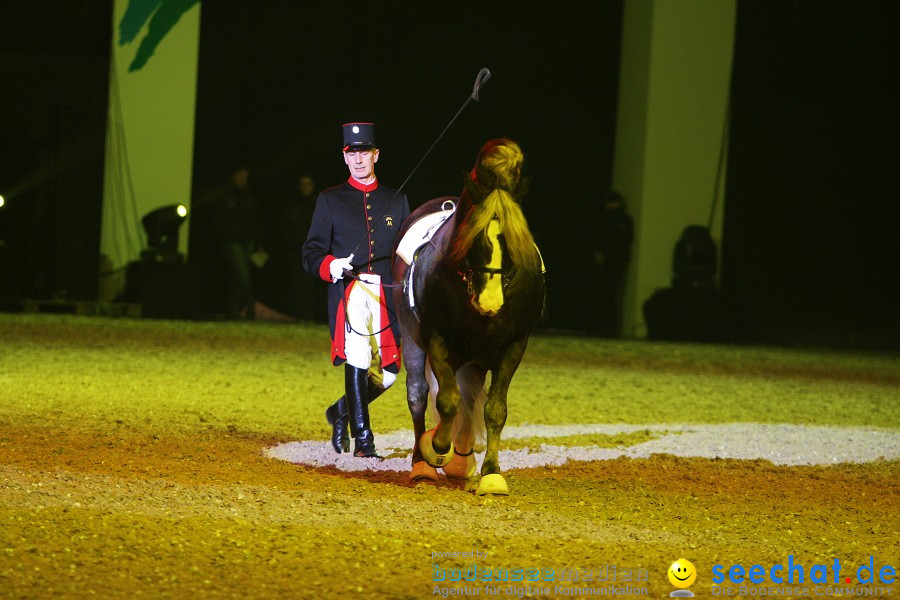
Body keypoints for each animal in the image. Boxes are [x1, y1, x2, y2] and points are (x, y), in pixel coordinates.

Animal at [386, 138, 540, 494]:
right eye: (475, 237)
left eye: (513, 238)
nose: (490, 302)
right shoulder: (437, 339)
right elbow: (446, 401)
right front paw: (436, 448)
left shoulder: (514, 344)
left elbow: (494, 409)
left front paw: (491, 473)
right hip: (414, 340)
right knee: (419, 394)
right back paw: (422, 464)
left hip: (477, 356)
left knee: (470, 394)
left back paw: (461, 460)